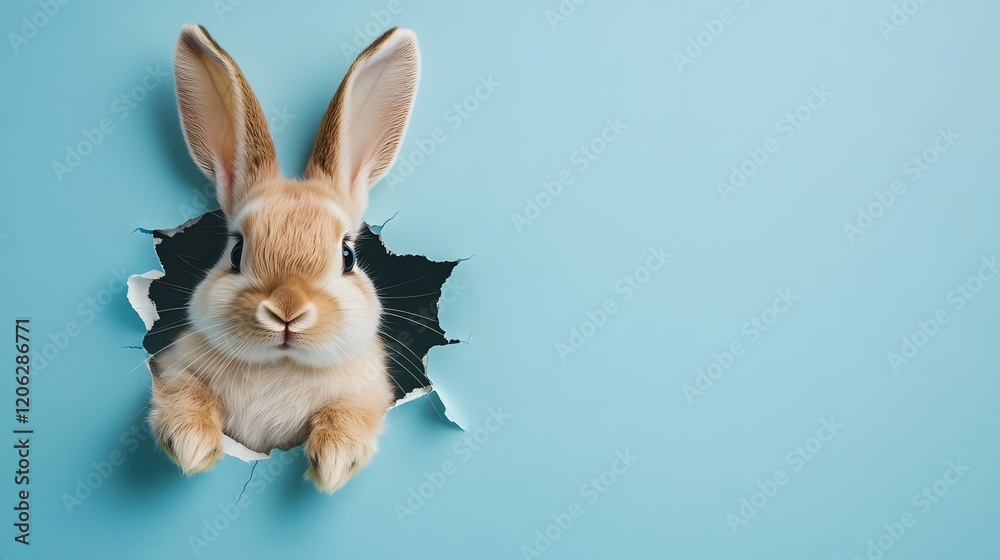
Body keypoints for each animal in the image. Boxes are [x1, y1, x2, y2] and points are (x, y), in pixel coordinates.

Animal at [147, 23, 420, 493]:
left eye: (347, 256)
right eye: (236, 251)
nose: (287, 311)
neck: (282, 365)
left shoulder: (368, 393)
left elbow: (347, 413)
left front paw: (334, 460)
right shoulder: (176, 369)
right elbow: (187, 393)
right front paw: (191, 444)